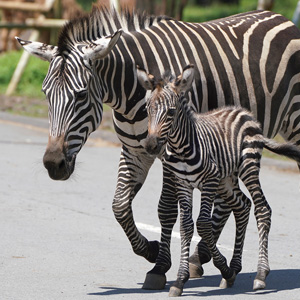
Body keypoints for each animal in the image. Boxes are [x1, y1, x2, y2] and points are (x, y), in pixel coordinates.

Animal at [137, 64, 300, 296]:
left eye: (171, 112)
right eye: (147, 109)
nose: (151, 145)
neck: (182, 146)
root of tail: (244, 112)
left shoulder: (209, 181)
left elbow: (204, 225)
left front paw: (223, 270)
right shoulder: (183, 184)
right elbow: (186, 226)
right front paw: (180, 280)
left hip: (247, 167)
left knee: (262, 209)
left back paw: (260, 275)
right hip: (227, 180)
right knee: (243, 206)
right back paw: (235, 266)